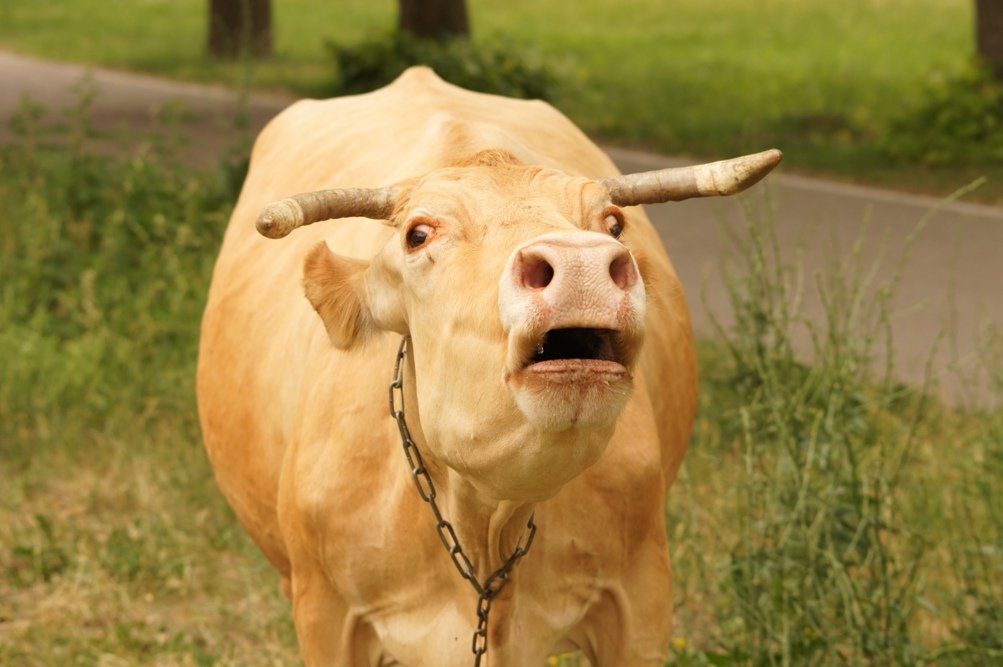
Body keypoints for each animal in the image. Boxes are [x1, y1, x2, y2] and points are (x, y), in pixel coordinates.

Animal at [197, 66, 780, 666]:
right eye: (418, 234)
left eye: (614, 224)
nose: (581, 263)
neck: (487, 525)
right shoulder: (325, 614)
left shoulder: (642, 600)